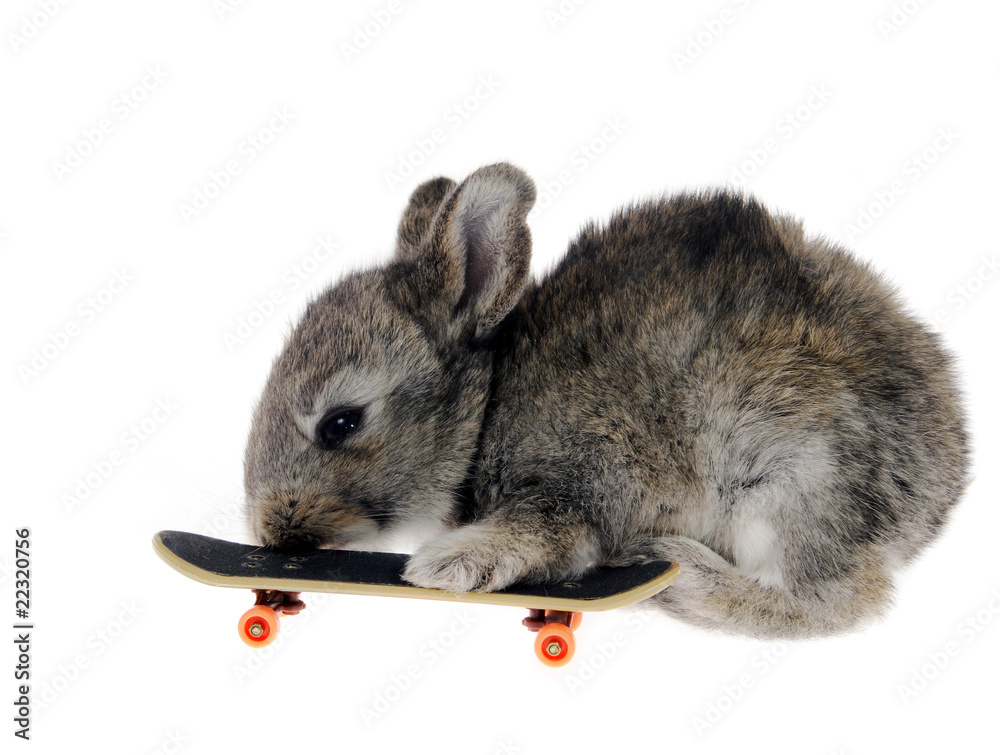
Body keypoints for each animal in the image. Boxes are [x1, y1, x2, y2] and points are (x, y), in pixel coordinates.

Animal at [243, 162, 969, 639]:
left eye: (340, 423)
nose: (271, 531)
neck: (484, 414)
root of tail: (940, 492)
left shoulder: (578, 482)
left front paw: (445, 566)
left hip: (790, 476)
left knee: (839, 600)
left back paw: (677, 572)